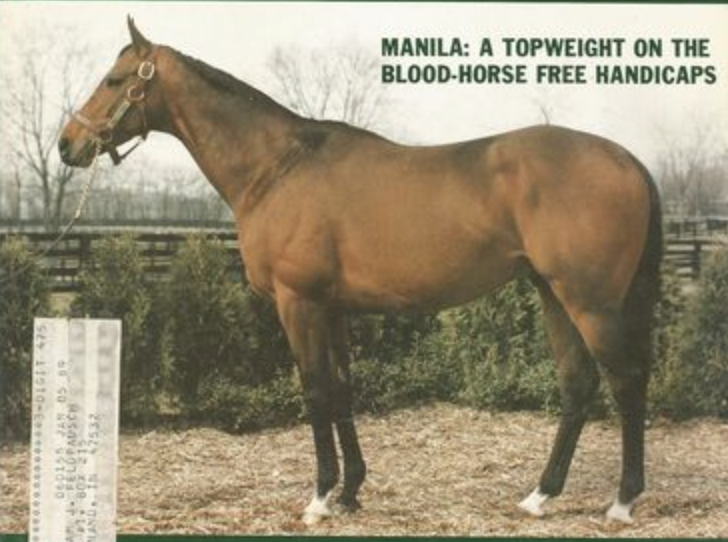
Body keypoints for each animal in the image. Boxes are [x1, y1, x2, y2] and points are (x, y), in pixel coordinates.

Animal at [59, 18, 662, 526]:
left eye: (115, 80)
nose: (69, 143)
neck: (279, 167)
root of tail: (628, 159)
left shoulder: (298, 303)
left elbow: (315, 391)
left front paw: (320, 497)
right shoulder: (332, 309)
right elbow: (343, 390)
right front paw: (350, 491)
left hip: (589, 302)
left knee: (626, 381)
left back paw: (622, 501)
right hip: (552, 293)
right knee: (578, 383)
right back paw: (540, 495)